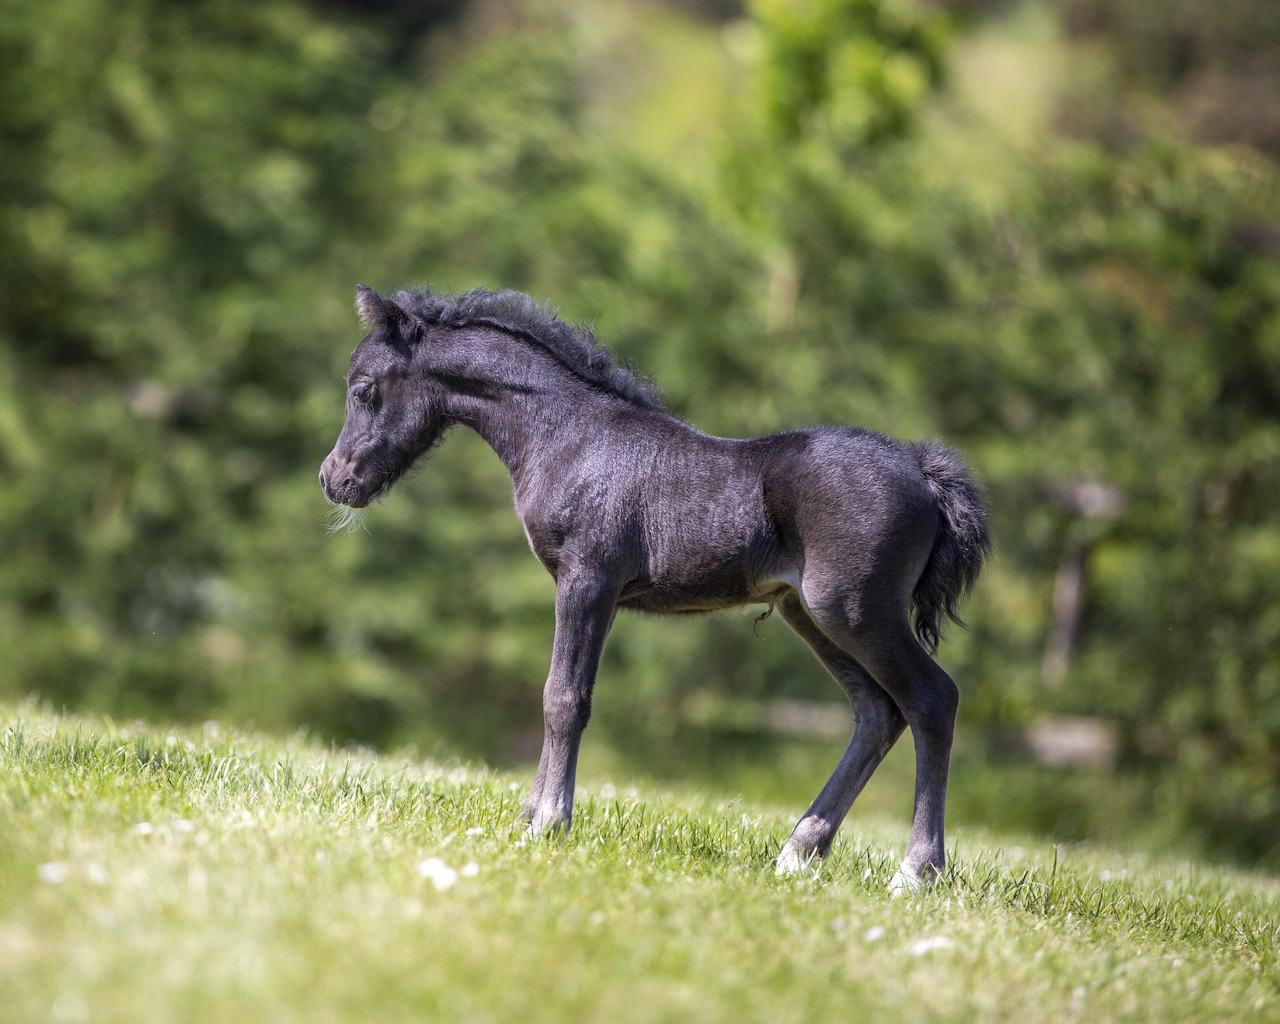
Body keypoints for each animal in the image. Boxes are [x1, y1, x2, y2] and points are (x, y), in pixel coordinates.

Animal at [319, 284, 990, 891]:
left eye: (363, 388)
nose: (334, 479)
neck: (567, 436)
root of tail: (924, 473)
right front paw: (531, 817)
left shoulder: (588, 578)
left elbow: (564, 698)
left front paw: (546, 825)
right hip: (811, 614)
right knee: (877, 712)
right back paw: (798, 854)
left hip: (855, 611)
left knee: (932, 699)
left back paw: (916, 872)